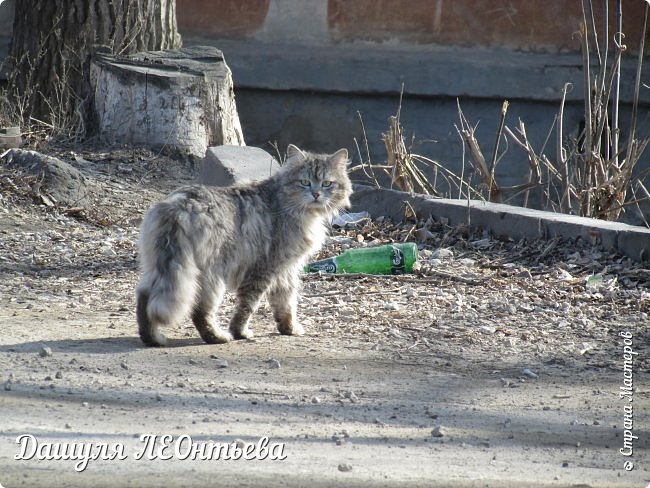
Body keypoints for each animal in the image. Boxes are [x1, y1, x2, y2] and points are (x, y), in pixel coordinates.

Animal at [134, 145, 352, 346]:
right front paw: (240, 332)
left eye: (327, 183)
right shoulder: (266, 268)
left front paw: (288, 328)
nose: (316, 194)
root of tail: (179, 207)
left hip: (159, 266)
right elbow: (249, 305)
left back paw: (153, 339)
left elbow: (286, 302)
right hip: (211, 275)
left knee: (144, 297)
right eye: (304, 182)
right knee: (200, 311)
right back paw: (219, 337)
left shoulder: (286, 269)